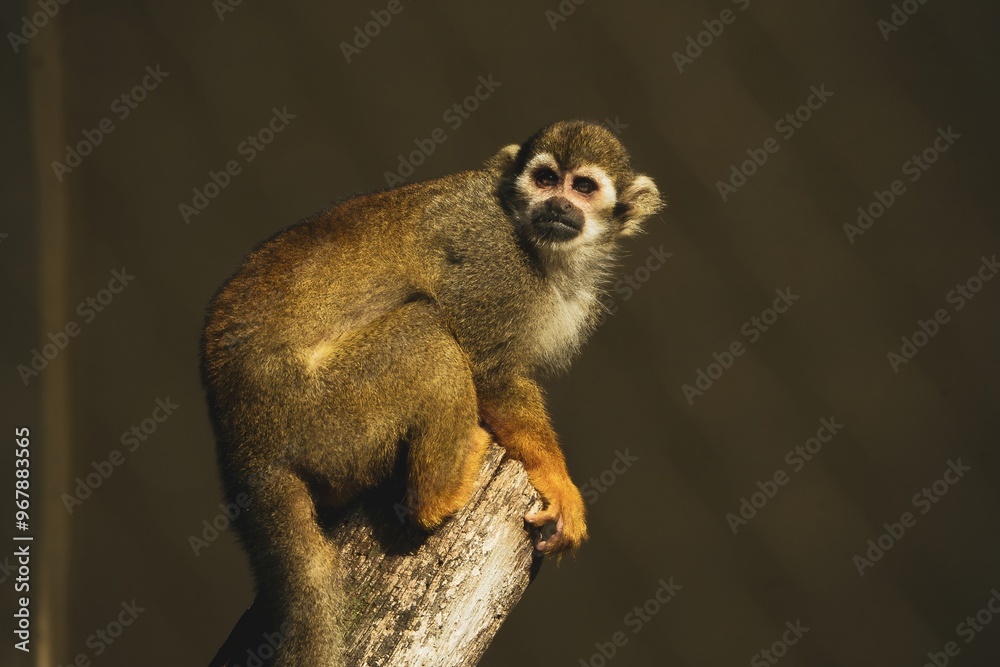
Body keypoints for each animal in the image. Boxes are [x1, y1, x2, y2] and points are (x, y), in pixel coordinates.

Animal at [200, 120, 664, 665]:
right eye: (547, 178)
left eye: (584, 187)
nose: (557, 204)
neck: (537, 247)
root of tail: (245, 445)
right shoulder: (495, 265)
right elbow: (487, 370)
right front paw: (557, 479)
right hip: (321, 415)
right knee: (429, 333)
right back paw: (439, 494)